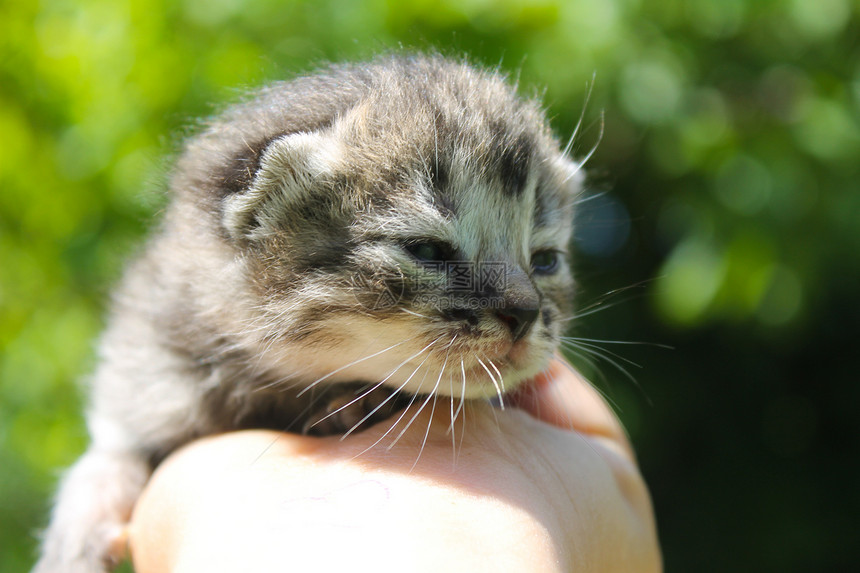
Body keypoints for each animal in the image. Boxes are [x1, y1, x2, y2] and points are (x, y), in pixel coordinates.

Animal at [37, 53, 580, 572]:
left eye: (544, 260)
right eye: (427, 250)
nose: (525, 313)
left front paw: (359, 402)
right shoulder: (147, 372)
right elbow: (106, 457)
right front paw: (72, 542)